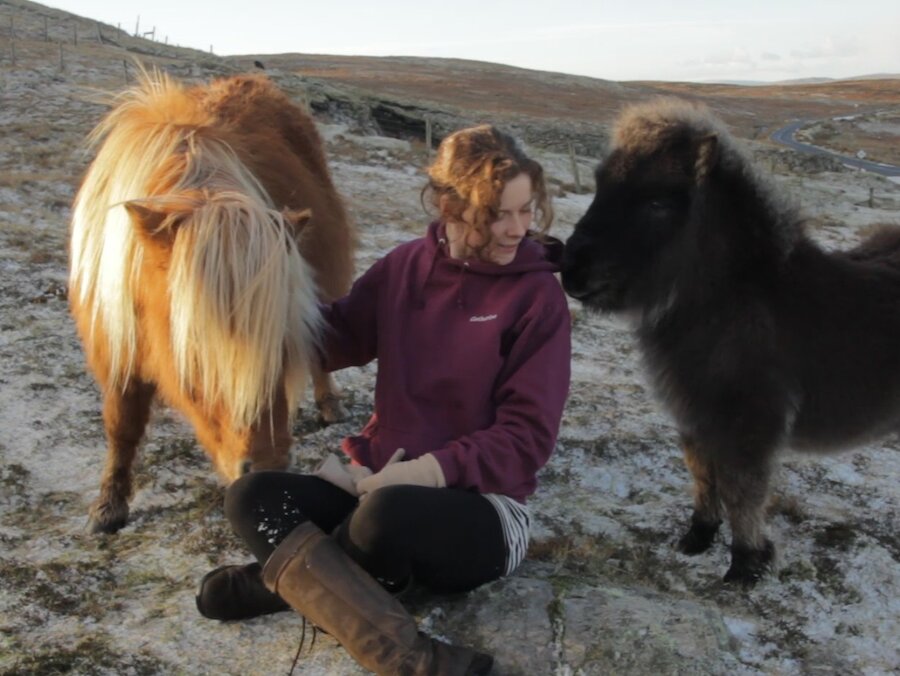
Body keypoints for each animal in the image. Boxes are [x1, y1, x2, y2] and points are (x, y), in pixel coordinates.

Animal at [70, 72, 354, 532]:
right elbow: (121, 426)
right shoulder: (115, 345)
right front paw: (108, 506)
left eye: (282, 349)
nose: (268, 467)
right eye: (198, 353)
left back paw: (330, 405)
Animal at [564, 99, 900, 588]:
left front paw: (745, 566)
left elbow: (742, 492)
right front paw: (697, 538)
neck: (731, 302)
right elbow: (704, 479)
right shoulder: (695, 418)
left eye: (657, 203)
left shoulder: (746, 427)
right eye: (599, 185)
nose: (570, 269)